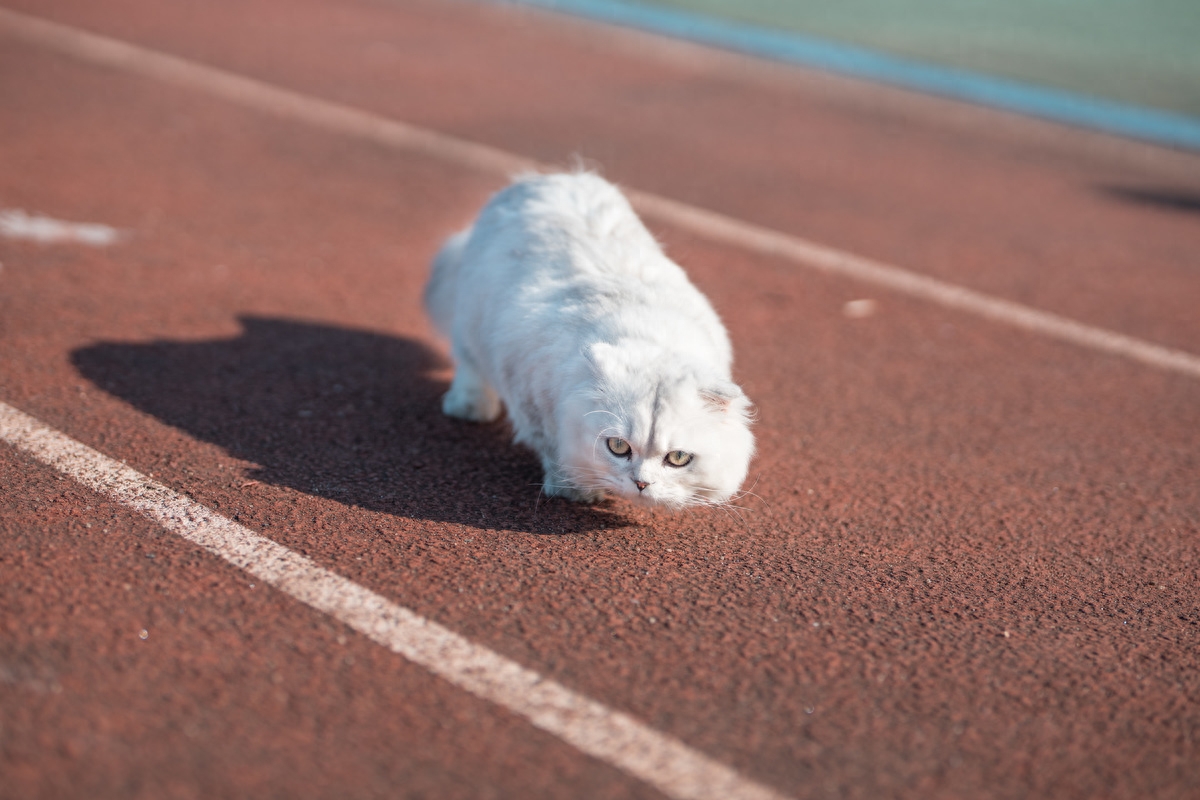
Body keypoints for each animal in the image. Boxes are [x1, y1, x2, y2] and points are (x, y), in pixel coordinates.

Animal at [427, 172, 753, 510]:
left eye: (677, 458)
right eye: (618, 446)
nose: (641, 484)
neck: (651, 340)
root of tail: (547, 179)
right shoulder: (528, 393)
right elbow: (554, 448)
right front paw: (573, 491)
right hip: (472, 319)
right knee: (469, 362)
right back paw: (469, 407)